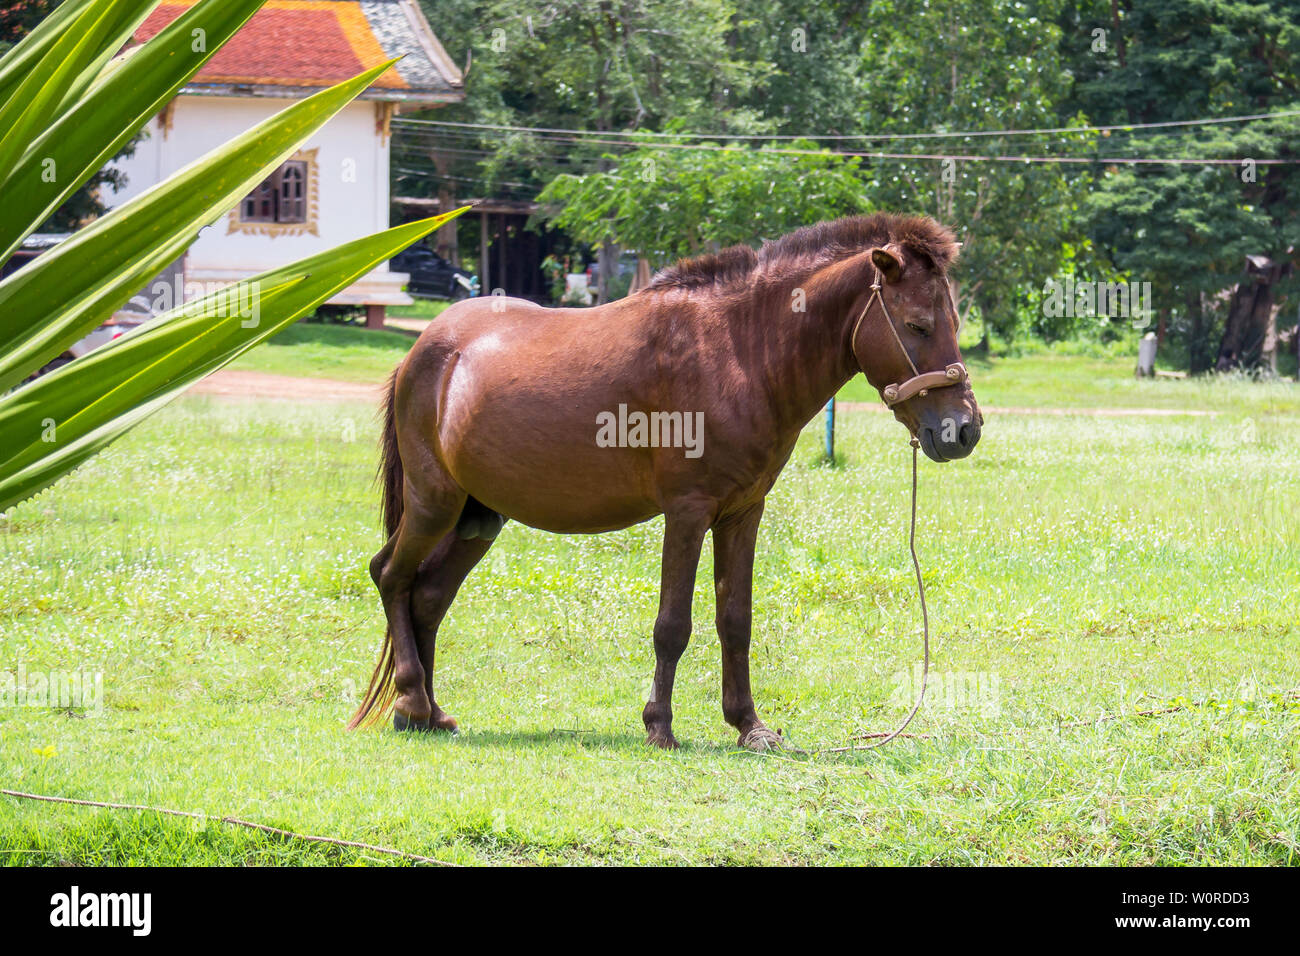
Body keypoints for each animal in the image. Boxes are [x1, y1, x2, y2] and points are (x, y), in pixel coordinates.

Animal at [351, 213, 977, 749]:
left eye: (954, 323)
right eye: (917, 325)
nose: (964, 429)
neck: (738, 350)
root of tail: (426, 350)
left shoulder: (742, 513)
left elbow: (735, 619)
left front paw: (749, 726)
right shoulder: (688, 510)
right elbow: (672, 624)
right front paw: (660, 725)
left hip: (478, 518)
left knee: (428, 596)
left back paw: (428, 713)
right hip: (434, 503)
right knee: (391, 576)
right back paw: (411, 701)